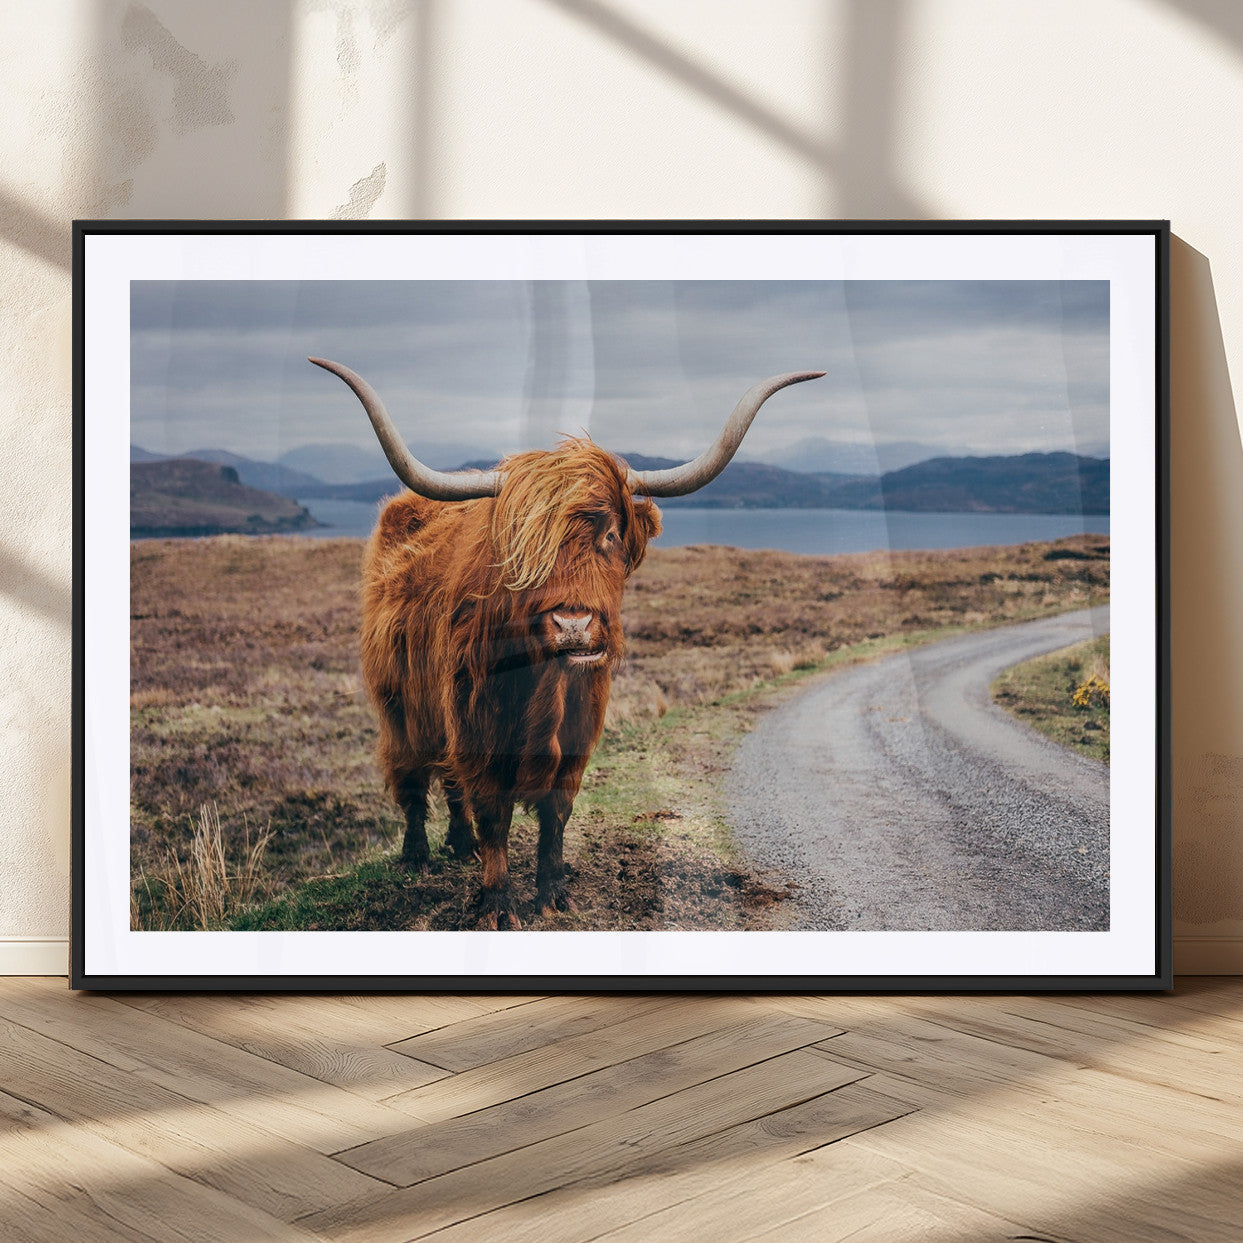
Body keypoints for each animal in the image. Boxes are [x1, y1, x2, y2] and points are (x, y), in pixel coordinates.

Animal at [310, 358, 823, 928]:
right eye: (524, 545)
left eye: (612, 535)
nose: (573, 624)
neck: (546, 686)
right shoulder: (477, 727)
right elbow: (494, 814)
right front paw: (497, 903)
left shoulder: (576, 736)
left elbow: (555, 815)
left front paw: (553, 892)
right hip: (400, 704)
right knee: (414, 779)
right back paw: (418, 856)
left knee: (449, 784)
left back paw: (460, 846)